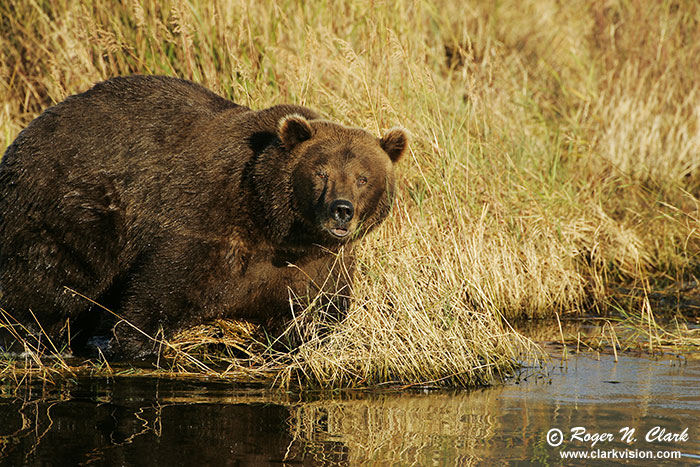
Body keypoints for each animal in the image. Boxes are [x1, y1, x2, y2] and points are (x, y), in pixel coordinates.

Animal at [0, 76, 404, 358]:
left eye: (363, 177)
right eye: (321, 172)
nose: (341, 209)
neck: (274, 225)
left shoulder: (317, 264)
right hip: (70, 206)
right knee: (49, 276)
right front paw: (131, 342)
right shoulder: (209, 224)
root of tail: (28, 131)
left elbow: (318, 311)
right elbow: (159, 292)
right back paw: (23, 338)